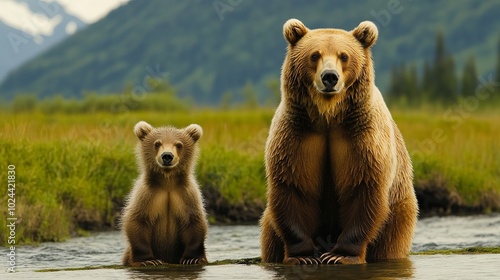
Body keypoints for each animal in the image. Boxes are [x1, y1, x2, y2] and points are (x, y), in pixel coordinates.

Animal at [121, 121, 207, 266]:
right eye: (157, 143)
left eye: (178, 145)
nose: (167, 156)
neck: (167, 182)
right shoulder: (147, 194)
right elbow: (137, 221)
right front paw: (148, 260)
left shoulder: (187, 195)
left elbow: (194, 222)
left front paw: (192, 258)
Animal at [260, 19, 416, 264]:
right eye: (315, 55)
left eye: (344, 56)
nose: (330, 77)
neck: (328, 115)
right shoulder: (297, 134)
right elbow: (293, 187)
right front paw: (304, 256)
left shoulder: (361, 137)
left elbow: (364, 186)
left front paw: (339, 255)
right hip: (269, 227)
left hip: (398, 216)